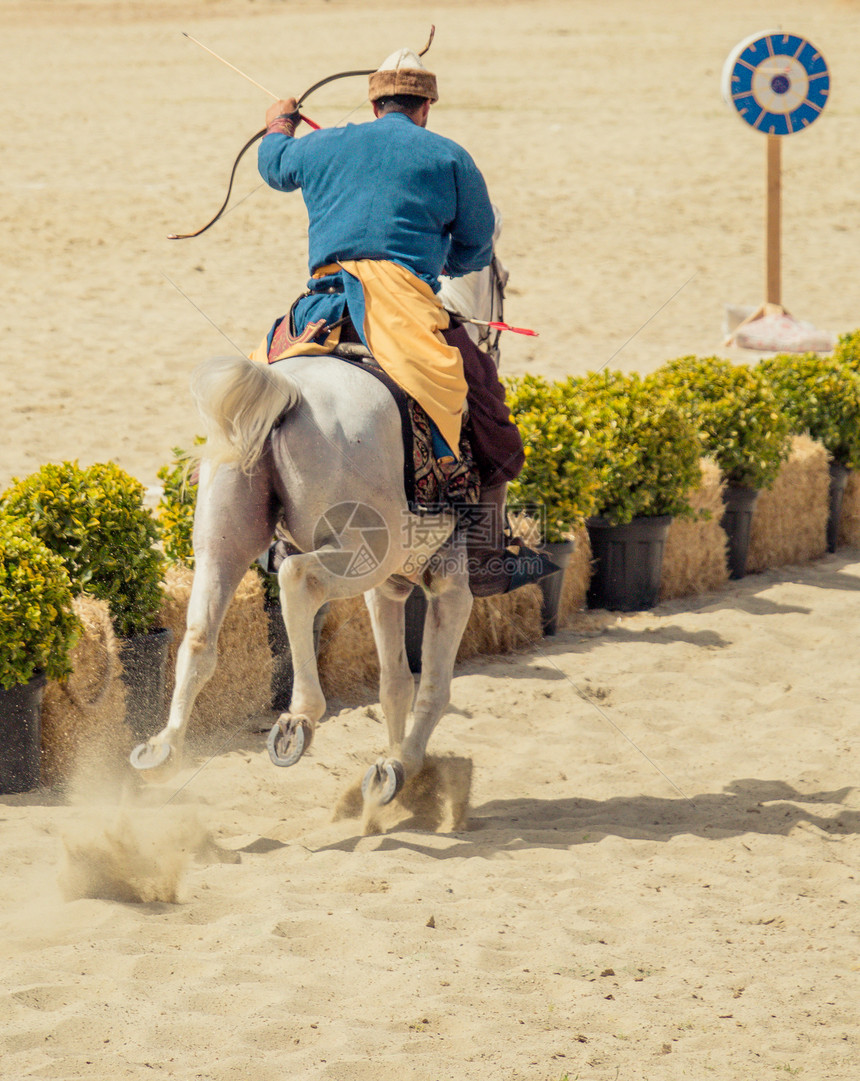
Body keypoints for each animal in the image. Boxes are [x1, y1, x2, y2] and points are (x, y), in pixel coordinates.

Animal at [131, 350, 473, 808]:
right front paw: (406, 763)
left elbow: (396, 683)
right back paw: (300, 716)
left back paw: (164, 747)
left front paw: (392, 764)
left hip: (223, 542)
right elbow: (433, 687)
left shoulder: (387, 589)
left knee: (202, 634)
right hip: (361, 554)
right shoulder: (449, 587)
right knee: (299, 579)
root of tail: (286, 388)